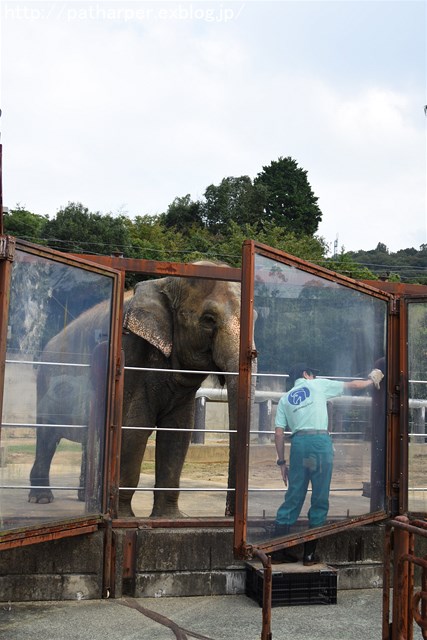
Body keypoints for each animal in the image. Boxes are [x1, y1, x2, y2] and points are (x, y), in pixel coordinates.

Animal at [29, 262, 244, 516]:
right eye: (209, 319)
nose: (228, 513)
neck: (165, 282)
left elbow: (178, 433)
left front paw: (170, 518)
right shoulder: (130, 349)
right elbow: (134, 427)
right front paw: (123, 517)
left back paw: (84, 499)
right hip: (47, 382)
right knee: (47, 437)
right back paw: (41, 499)